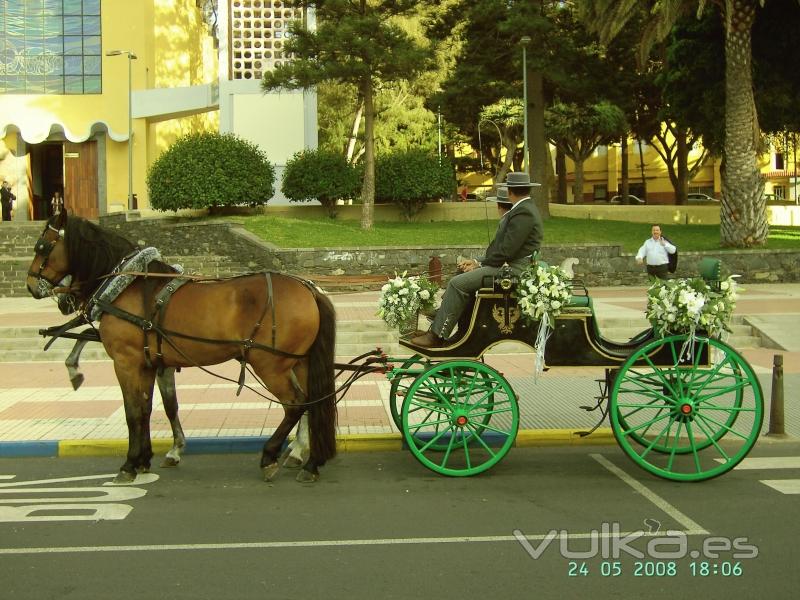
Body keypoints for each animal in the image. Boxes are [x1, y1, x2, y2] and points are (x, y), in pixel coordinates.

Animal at [25, 213, 338, 486]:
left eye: (42, 246)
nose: (30, 286)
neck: (128, 284)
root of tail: (309, 289)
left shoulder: (126, 362)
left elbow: (132, 412)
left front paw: (130, 464)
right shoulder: (149, 363)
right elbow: (149, 408)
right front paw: (145, 459)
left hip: (270, 364)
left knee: (295, 403)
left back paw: (271, 455)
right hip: (299, 362)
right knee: (314, 402)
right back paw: (310, 462)